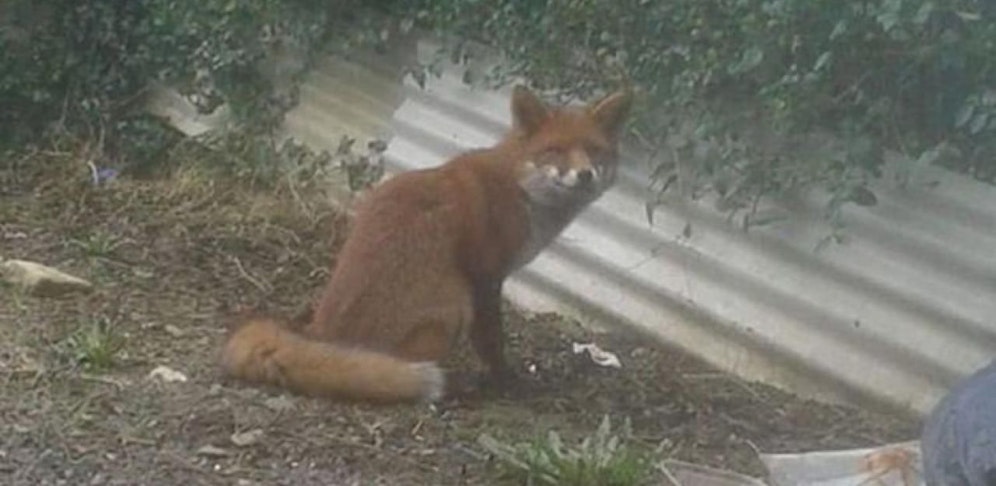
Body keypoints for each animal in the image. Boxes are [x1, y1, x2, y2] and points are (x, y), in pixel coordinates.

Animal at [220, 85, 633, 404]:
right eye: (555, 151)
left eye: (595, 151)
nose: (585, 175)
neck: (520, 189)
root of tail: (323, 335)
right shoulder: (485, 277)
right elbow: (493, 342)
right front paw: (506, 382)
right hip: (454, 304)